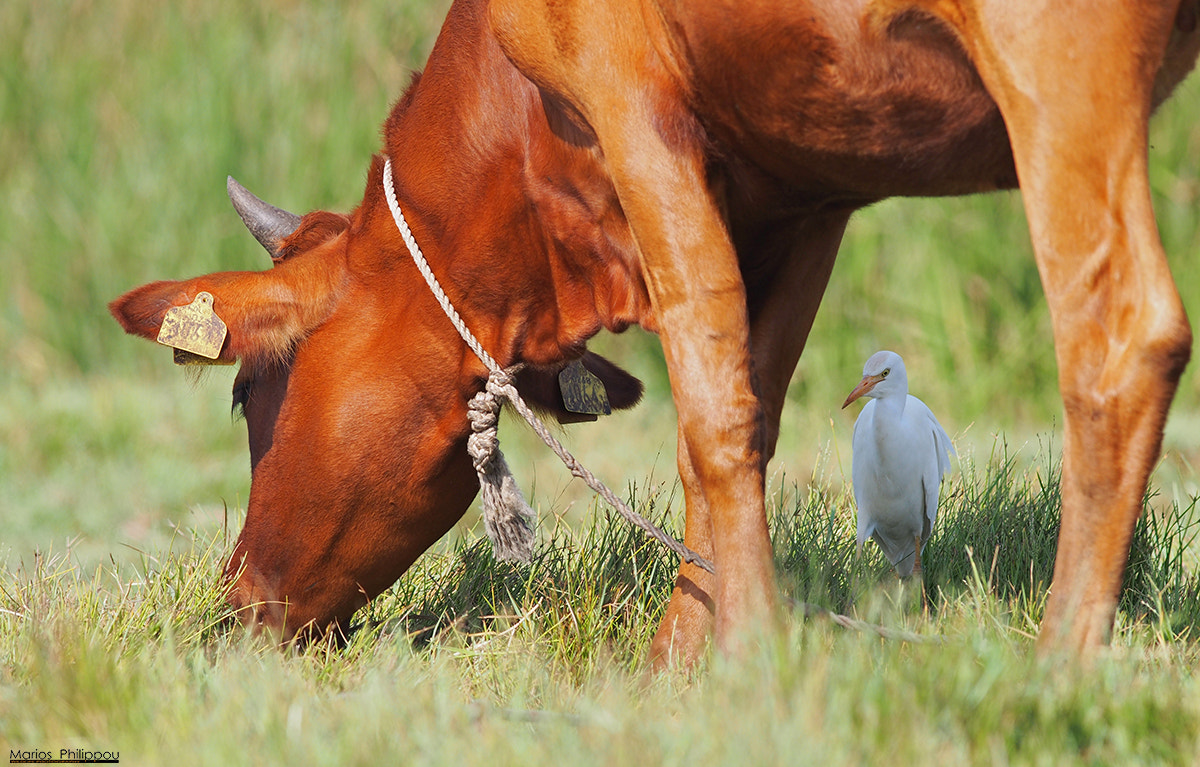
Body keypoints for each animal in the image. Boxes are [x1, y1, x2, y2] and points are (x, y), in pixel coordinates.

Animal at [112, 0, 1200, 667]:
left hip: (1056, 61)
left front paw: (750, 656)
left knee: (1123, 335)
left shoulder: (635, 107)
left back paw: (1059, 666)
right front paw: (682, 657)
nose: (234, 601)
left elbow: (711, 411)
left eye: (248, 392)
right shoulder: (803, 189)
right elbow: (742, 409)